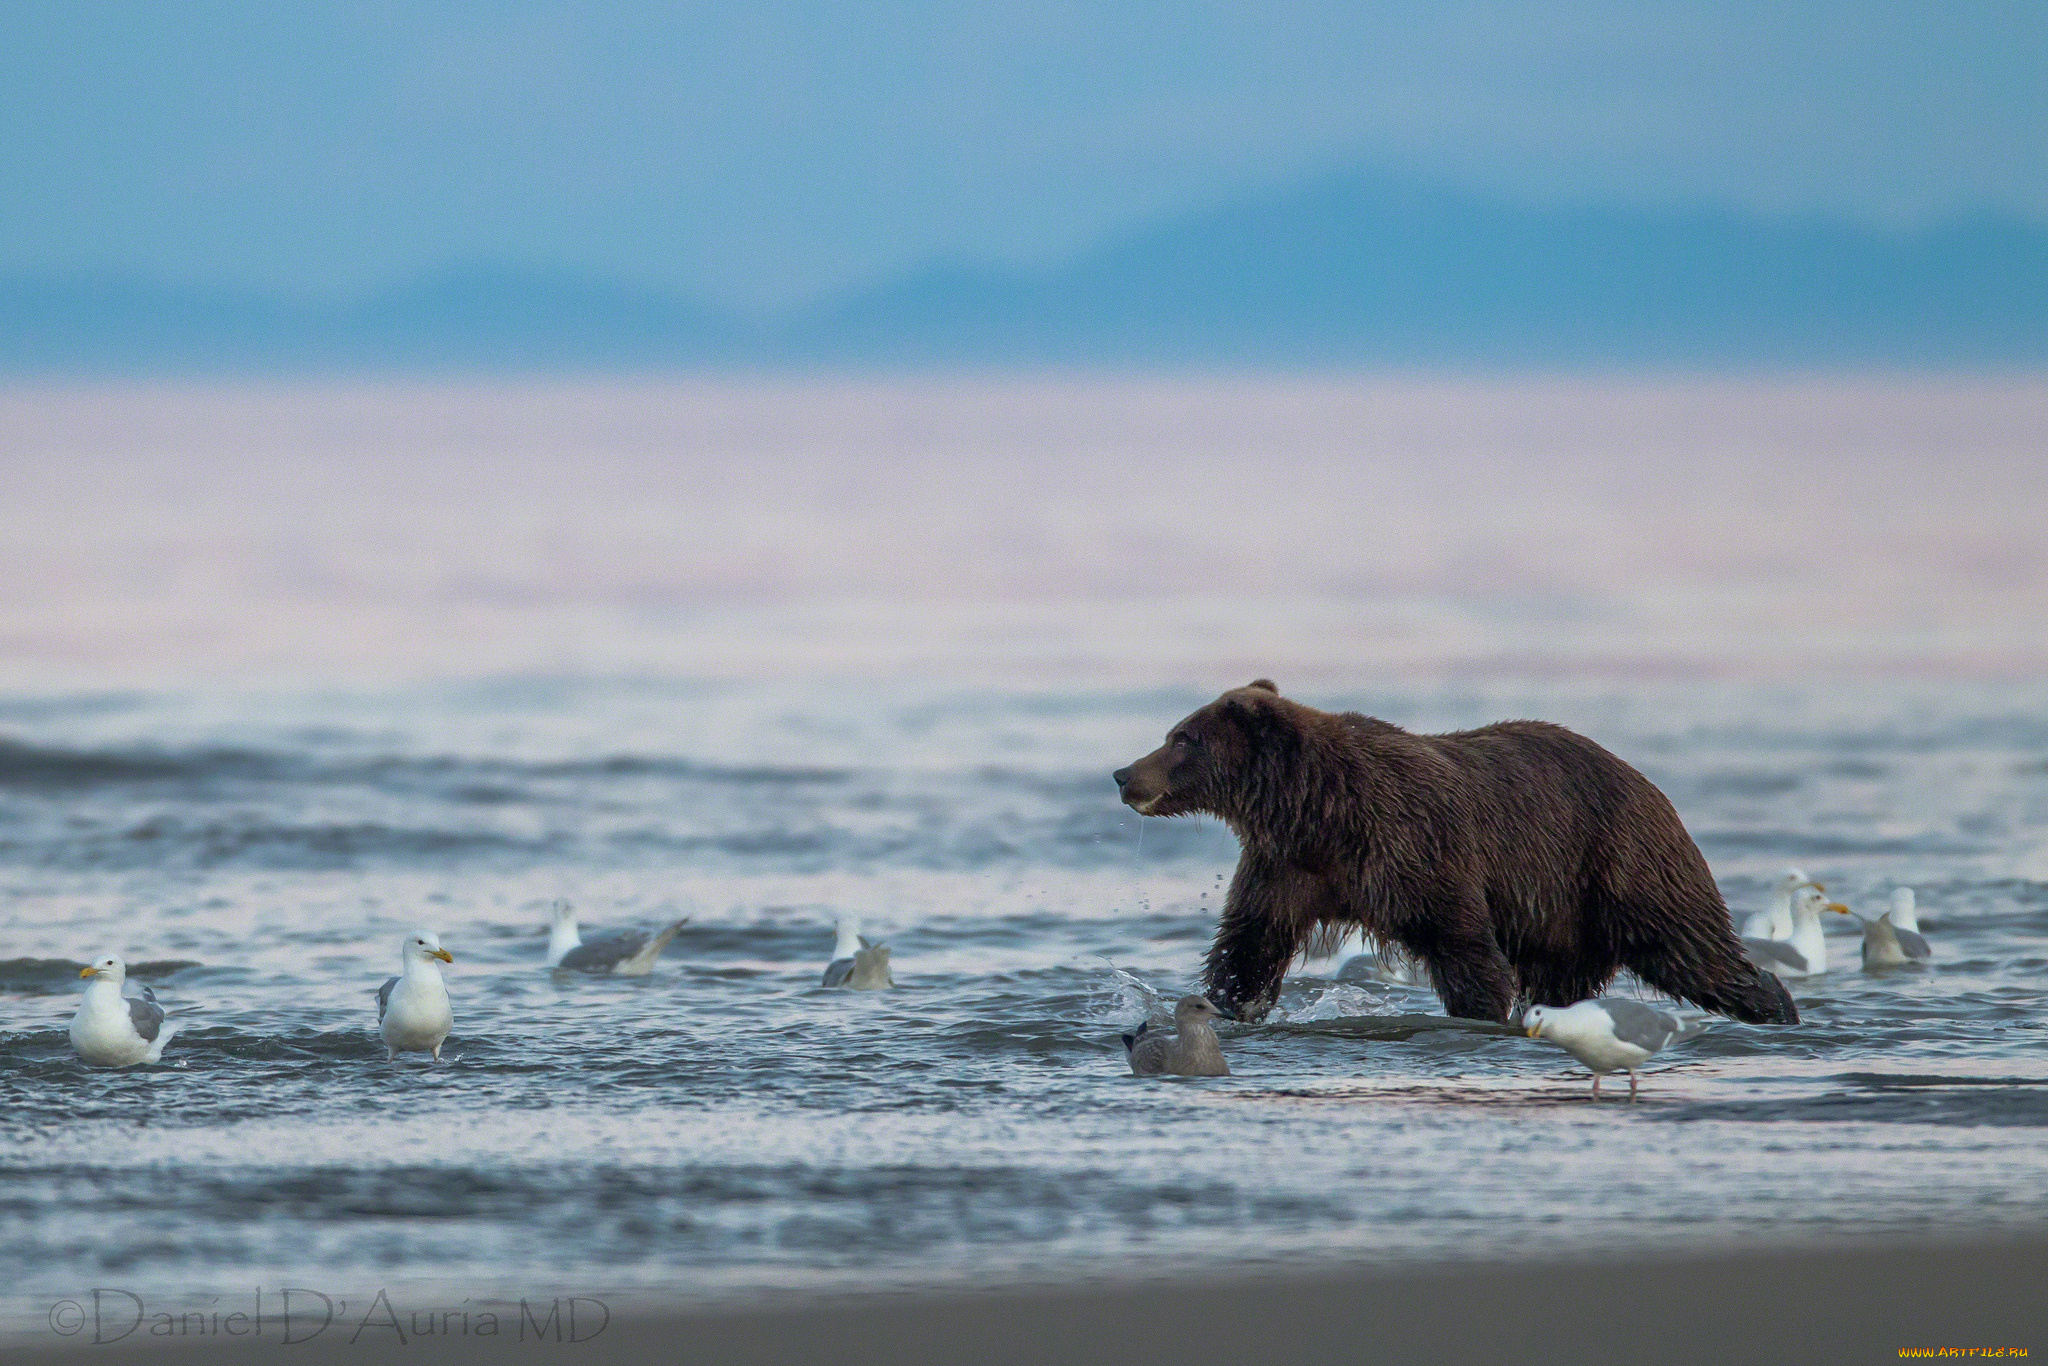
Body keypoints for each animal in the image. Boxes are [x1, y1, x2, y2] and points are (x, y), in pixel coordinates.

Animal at [1114, 684, 1802, 1023]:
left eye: (1181, 737)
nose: (1124, 774)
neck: (1319, 811)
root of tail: (1650, 785)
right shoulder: (1288, 867)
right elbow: (1249, 945)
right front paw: (1228, 1003)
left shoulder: (1412, 848)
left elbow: (1462, 943)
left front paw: (1479, 1010)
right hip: (1564, 921)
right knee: (1569, 979)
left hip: (1619, 864)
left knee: (1691, 947)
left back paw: (1775, 1005)